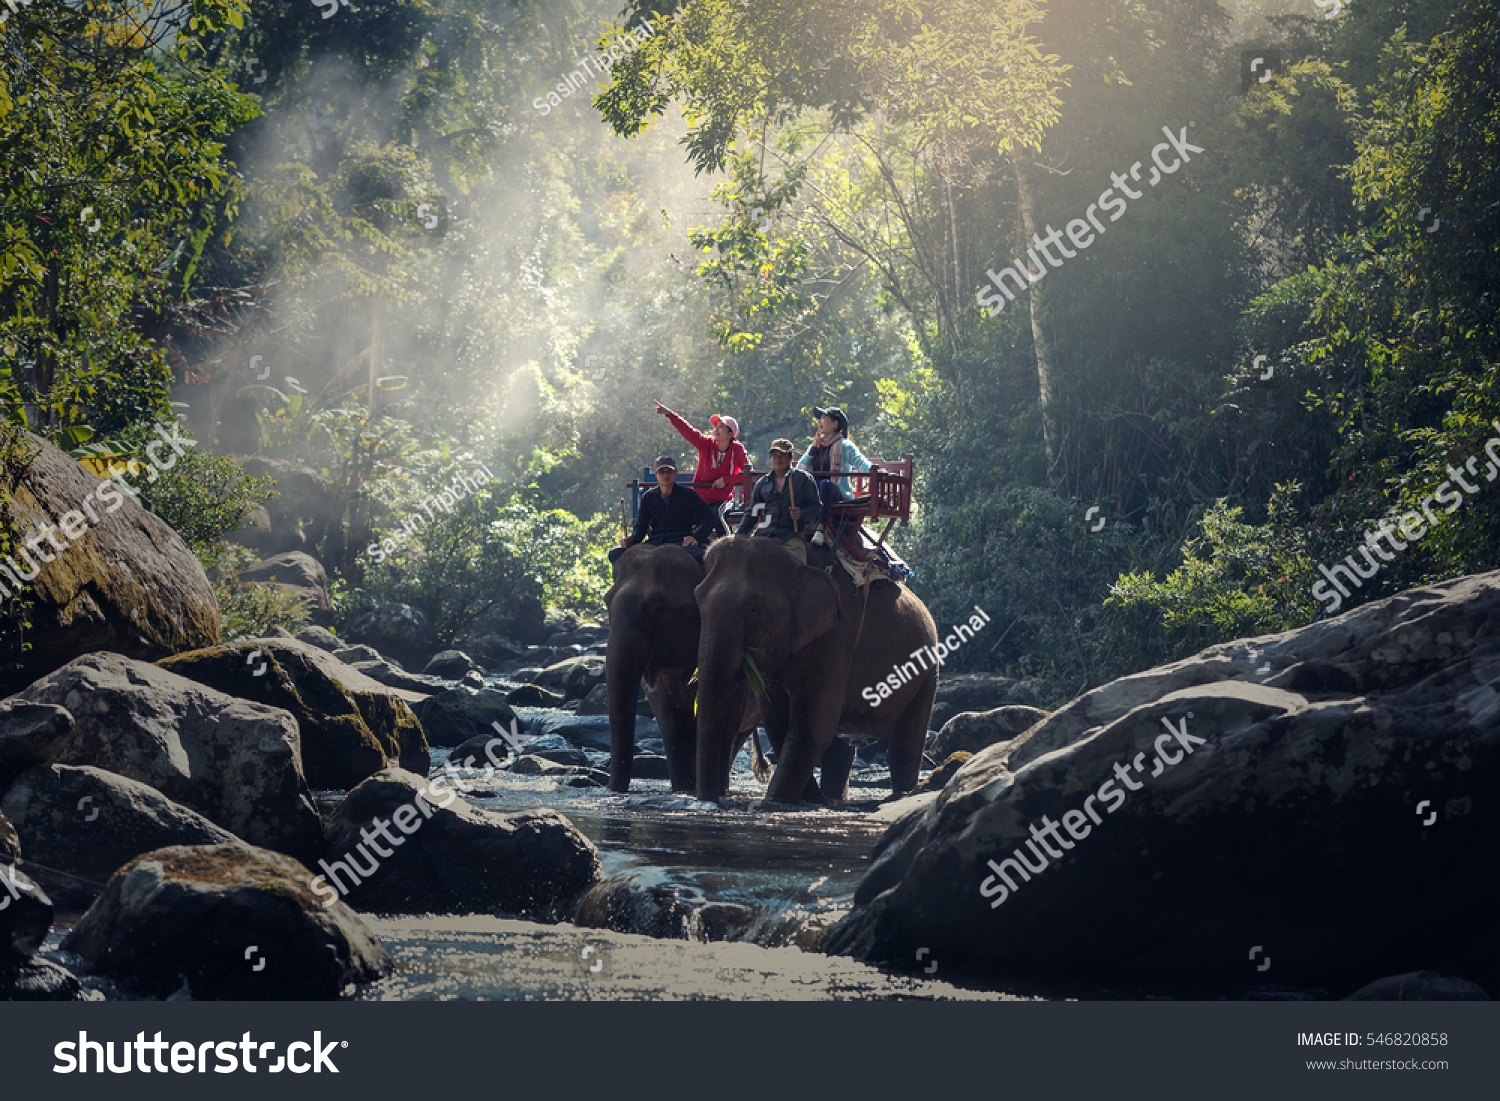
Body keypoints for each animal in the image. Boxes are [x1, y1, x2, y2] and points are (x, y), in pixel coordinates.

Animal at [603, 549, 762, 798]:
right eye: (606, 602)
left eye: (658, 608)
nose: (614, 788)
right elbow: (668, 715)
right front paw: (684, 789)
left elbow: (727, 715)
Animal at [693, 540, 936, 804]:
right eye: (698, 600)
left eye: (755, 609)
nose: (712, 800)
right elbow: (778, 722)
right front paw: (807, 799)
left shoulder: (839, 633)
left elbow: (812, 728)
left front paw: (775, 802)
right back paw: (833, 798)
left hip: (926, 673)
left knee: (905, 743)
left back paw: (902, 794)